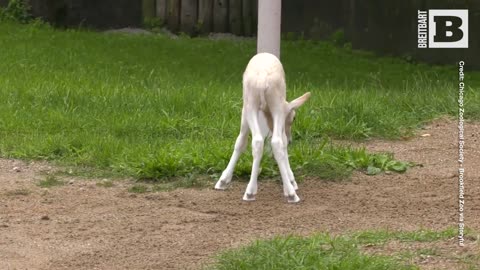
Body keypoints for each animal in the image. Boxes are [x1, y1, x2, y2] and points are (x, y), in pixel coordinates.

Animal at [215, 52, 312, 202]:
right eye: (294, 118)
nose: (291, 140)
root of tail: (263, 79)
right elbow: (281, 143)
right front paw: (291, 181)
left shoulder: (245, 111)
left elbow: (241, 142)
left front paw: (223, 180)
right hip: (274, 105)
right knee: (275, 142)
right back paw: (289, 193)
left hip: (251, 104)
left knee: (258, 141)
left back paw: (250, 191)